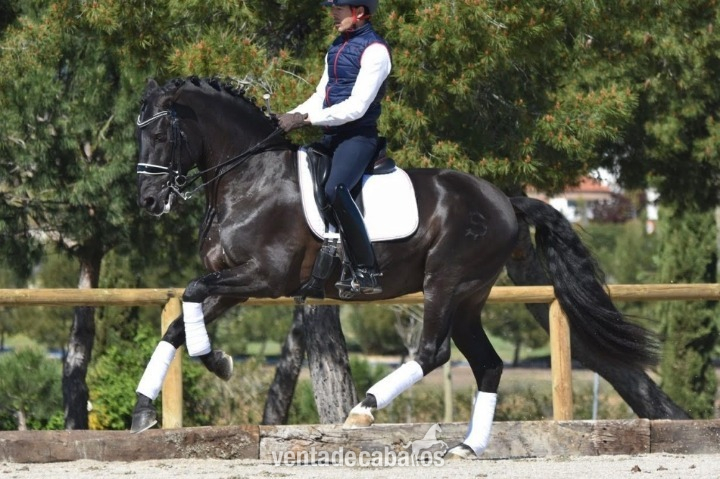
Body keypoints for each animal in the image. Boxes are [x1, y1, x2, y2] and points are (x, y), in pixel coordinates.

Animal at [132, 76, 657, 458]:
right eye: (139, 135)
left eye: (159, 134)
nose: (150, 201)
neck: (248, 178)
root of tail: (505, 200)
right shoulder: (236, 284)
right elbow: (180, 322)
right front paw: (146, 409)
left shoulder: (265, 277)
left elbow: (191, 292)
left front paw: (216, 361)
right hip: (469, 298)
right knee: (487, 364)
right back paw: (468, 447)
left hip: (445, 283)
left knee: (432, 352)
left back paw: (363, 411)